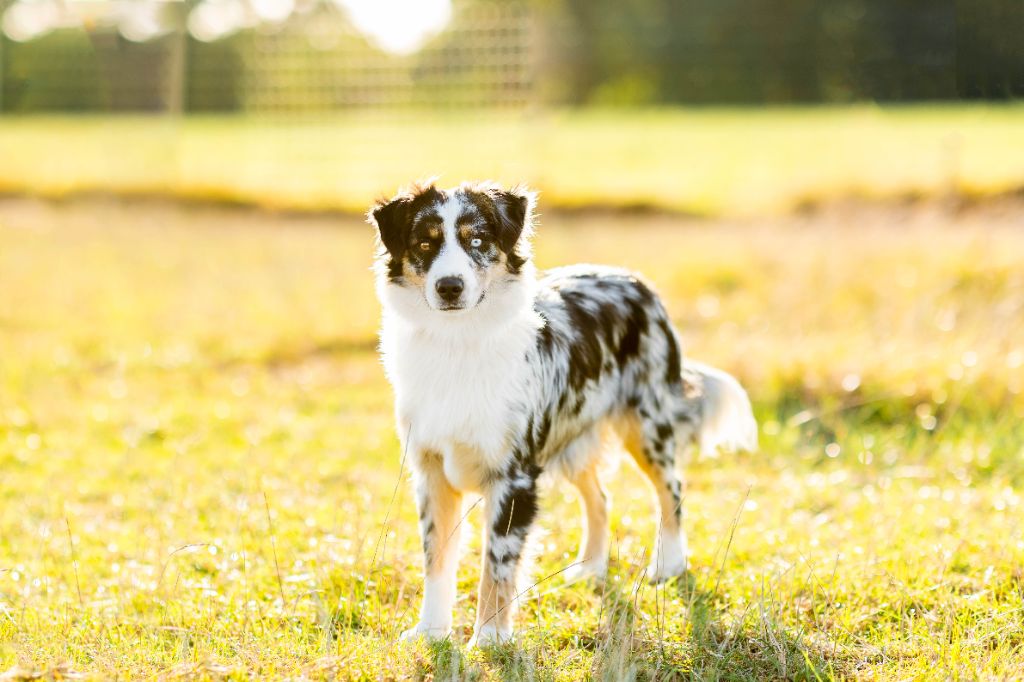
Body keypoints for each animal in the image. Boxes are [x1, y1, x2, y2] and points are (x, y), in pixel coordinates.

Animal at [372, 179, 757, 643]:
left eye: (476, 241)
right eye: (424, 243)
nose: (449, 287)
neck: (457, 341)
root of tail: (634, 280)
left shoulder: (514, 475)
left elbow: (496, 564)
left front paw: (491, 638)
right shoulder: (431, 471)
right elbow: (437, 558)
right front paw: (431, 630)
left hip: (647, 426)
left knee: (671, 489)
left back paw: (668, 564)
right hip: (574, 437)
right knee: (601, 497)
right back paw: (590, 568)